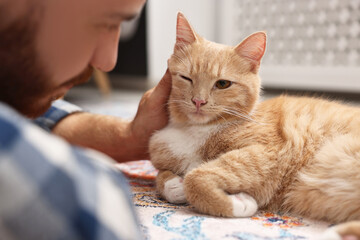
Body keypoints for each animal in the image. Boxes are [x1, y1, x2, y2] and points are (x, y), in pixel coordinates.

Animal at [148, 13, 360, 240]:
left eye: (222, 84)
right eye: (186, 78)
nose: (198, 101)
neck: (193, 130)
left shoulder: (267, 152)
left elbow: (196, 178)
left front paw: (237, 204)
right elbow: (161, 176)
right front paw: (173, 185)